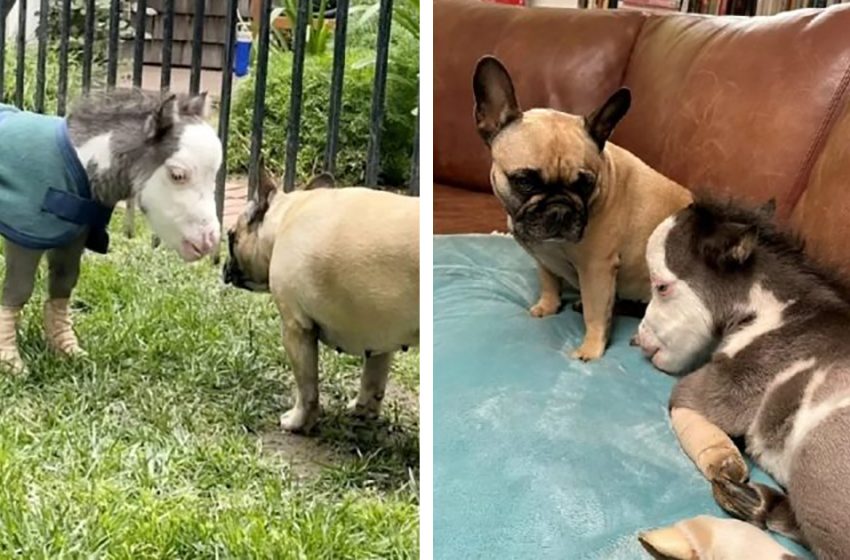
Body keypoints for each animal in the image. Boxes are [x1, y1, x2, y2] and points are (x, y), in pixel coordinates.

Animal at [0, 89, 219, 374]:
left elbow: (63, 284)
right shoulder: (26, 232)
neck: (81, 163)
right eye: (177, 175)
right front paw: (10, 362)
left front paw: (67, 350)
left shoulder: (73, 237)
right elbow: (18, 289)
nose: (209, 241)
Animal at [632, 201, 844, 560]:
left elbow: (680, 400)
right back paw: (756, 501)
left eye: (662, 286)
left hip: (814, 464)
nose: (640, 341)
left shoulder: (724, 387)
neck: (778, 314)